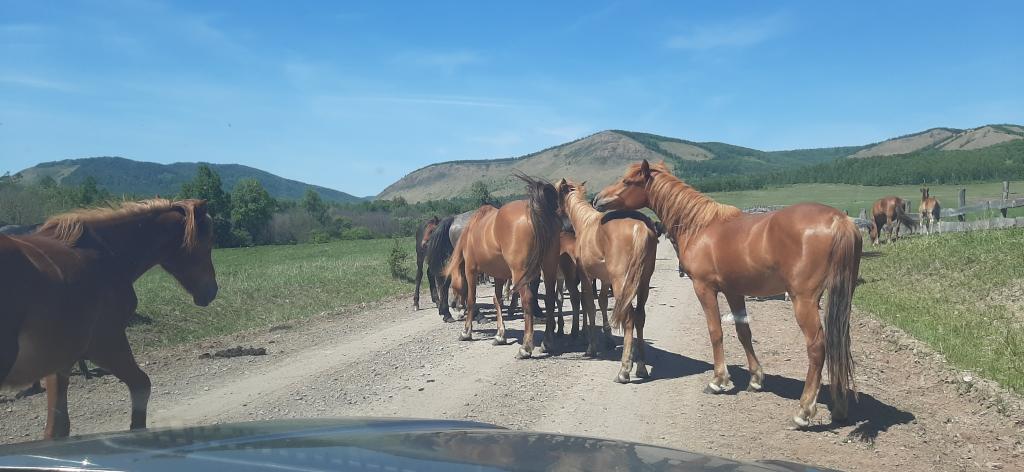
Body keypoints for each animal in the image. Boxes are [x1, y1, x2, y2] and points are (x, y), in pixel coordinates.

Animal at [1, 198, 218, 438]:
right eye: (208, 242)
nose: (212, 291)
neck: (106, 256)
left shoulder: (60, 359)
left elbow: (57, 426)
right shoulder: (106, 342)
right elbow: (141, 384)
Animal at [446, 173, 565, 356]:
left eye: (452, 284)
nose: (452, 304)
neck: (472, 230)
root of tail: (536, 210)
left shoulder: (470, 270)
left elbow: (472, 299)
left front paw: (466, 332)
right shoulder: (499, 275)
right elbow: (498, 300)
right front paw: (500, 335)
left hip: (521, 273)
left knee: (528, 300)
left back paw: (526, 347)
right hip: (548, 266)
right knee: (551, 299)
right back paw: (547, 342)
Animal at [557, 179, 659, 382]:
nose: (558, 216)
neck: (585, 223)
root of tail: (640, 228)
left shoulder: (586, 277)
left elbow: (589, 306)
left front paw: (591, 347)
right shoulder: (604, 279)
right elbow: (603, 302)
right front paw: (608, 337)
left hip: (622, 284)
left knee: (629, 319)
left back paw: (624, 369)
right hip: (642, 283)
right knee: (640, 316)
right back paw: (641, 366)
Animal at [598, 160, 860, 425]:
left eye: (627, 181)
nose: (598, 199)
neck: (701, 227)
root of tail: (840, 220)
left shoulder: (704, 288)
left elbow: (716, 332)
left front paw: (718, 380)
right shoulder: (734, 292)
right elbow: (744, 333)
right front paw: (755, 379)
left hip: (804, 301)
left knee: (818, 348)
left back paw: (804, 410)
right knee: (839, 344)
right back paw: (839, 408)